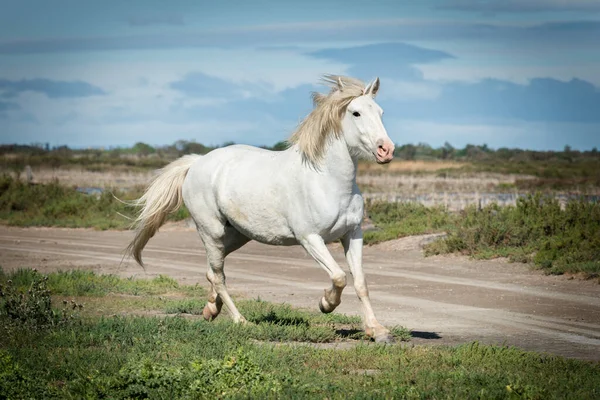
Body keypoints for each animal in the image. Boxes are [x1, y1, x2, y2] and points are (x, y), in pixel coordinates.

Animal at [126, 74, 396, 340]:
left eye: (381, 112)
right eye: (356, 113)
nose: (386, 150)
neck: (328, 180)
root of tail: (197, 163)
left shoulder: (353, 234)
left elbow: (360, 282)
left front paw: (378, 330)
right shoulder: (310, 238)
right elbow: (339, 277)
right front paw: (326, 304)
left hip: (237, 235)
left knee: (211, 271)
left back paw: (211, 309)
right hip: (211, 232)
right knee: (219, 276)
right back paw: (241, 321)